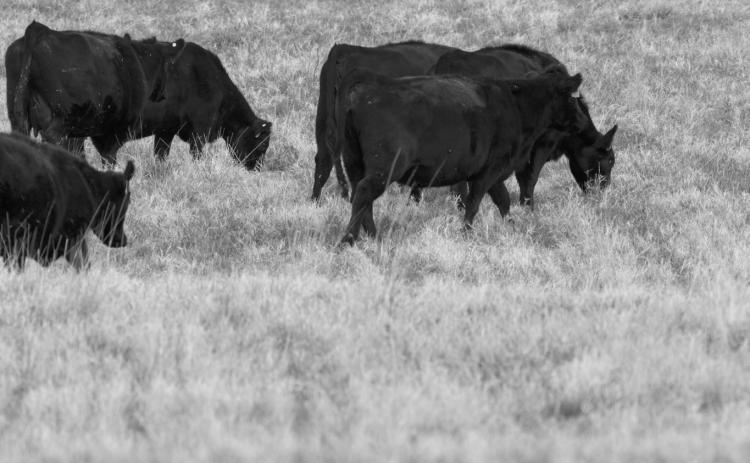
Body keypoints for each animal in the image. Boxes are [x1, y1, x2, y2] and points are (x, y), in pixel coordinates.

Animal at [5, 21, 184, 164]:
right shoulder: (113, 132)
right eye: (167, 66)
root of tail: (40, 31)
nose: (163, 95)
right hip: (61, 119)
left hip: (18, 116)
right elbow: (108, 159)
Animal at [133, 41, 272, 170]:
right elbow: (196, 155)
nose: (257, 169)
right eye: (263, 145)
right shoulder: (200, 130)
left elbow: (161, 155)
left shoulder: (165, 130)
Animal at [336, 70, 588, 245]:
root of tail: (363, 92)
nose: (583, 122)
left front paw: (511, 226)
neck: (517, 106)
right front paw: (466, 231)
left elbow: (503, 199)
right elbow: (474, 202)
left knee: (362, 198)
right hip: (386, 165)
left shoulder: (491, 172)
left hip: (354, 162)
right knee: (364, 193)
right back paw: (349, 239)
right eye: (572, 98)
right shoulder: (490, 169)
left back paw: (373, 237)